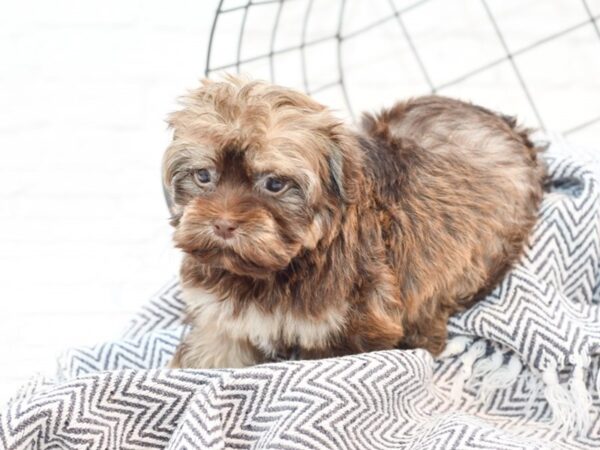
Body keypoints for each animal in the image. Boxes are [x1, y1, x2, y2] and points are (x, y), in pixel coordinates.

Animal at [162, 74, 548, 370]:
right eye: (203, 176)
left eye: (274, 183)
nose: (223, 225)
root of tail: (513, 129)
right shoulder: (221, 318)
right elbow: (213, 354)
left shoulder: (352, 327)